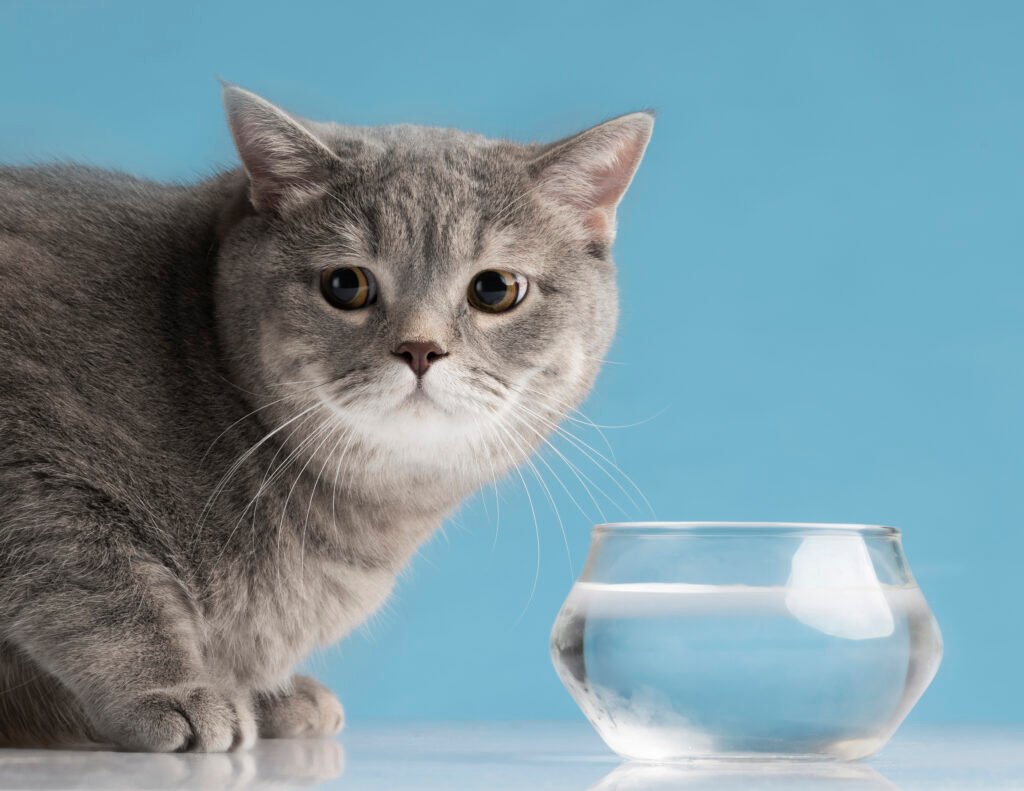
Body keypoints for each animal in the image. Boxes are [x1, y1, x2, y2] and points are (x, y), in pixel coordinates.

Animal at [0, 83, 655, 750]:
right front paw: (172, 691)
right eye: (346, 285)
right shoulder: (32, 462)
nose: (420, 349)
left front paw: (274, 698)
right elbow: (100, 588)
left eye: (495, 289)